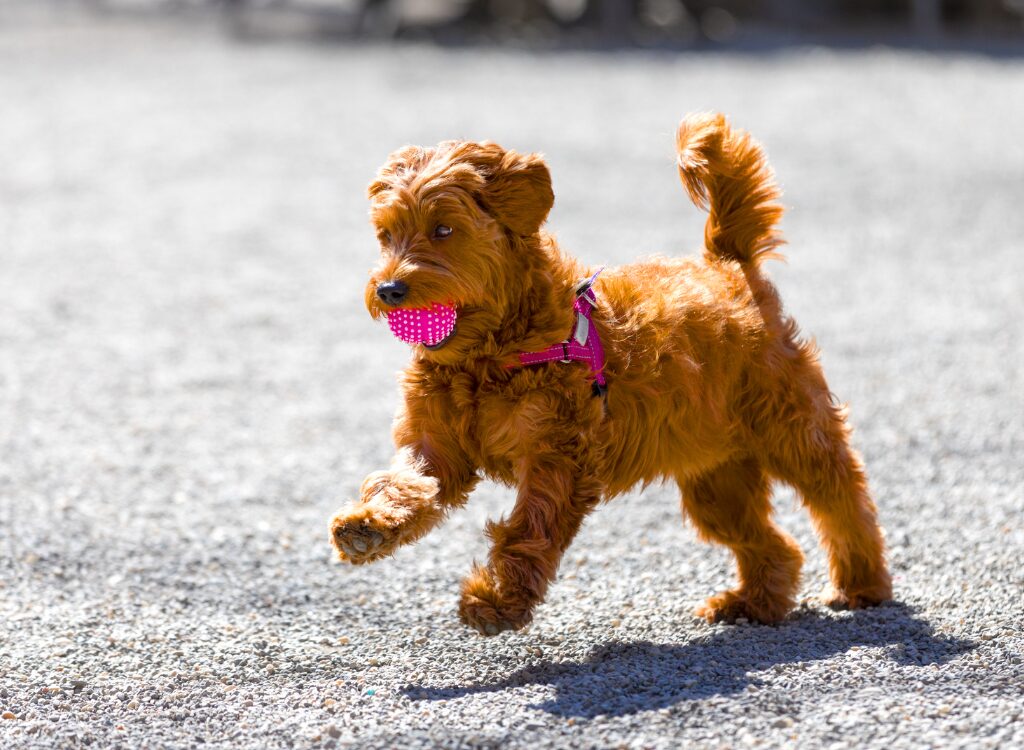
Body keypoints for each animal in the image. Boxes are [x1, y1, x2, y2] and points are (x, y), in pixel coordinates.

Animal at [327, 114, 888, 635]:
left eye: (444, 229)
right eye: (386, 235)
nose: (389, 289)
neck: (490, 353)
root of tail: (728, 264)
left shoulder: (559, 453)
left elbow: (530, 528)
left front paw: (497, 601)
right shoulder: (439, 442)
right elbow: (405, 480)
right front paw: (368, 526)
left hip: (790, 425)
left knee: (843, 499)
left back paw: (861, 584)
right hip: (715, 473)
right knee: (771, 542)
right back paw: (755, 603)